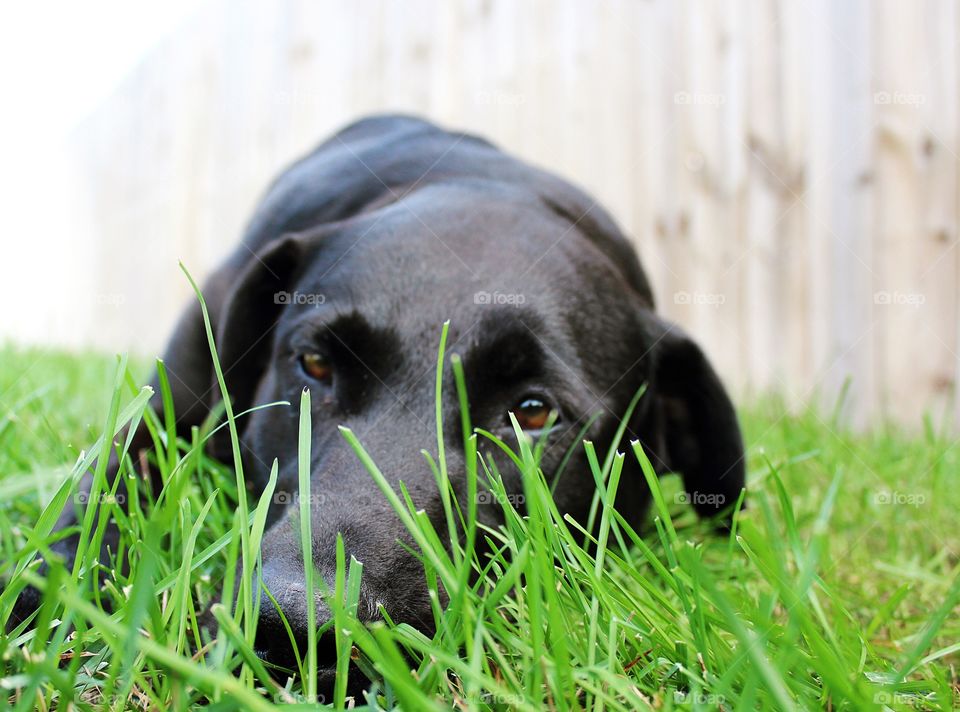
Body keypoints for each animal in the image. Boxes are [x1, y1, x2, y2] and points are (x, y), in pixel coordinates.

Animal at [7, 117, 748, 680]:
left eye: (532, 413)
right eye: (314, 363)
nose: (296, 625)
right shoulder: (164, 415)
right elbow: (103, 488)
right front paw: (47, 593)